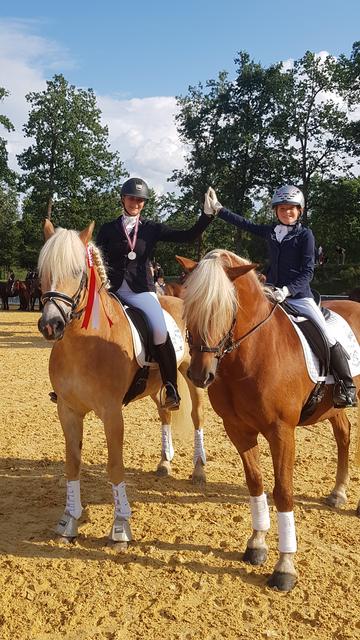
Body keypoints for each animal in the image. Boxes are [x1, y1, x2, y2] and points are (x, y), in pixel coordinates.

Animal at [38, 222, 207, 548]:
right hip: (157, 388)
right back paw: (164, 463)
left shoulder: (112, 413)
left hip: (193, 376)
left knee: (197, 418)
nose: (50, 325)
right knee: (165, 414)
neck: (85, 341)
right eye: (42, 270)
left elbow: (115, 466)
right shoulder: (67, 411)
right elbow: (72, 463)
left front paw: (120, 528)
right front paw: (69, 522)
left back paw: (199, 470)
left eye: (77, 271)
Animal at [177, 249, 360, 592]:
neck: (252, 353)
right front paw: (257, 544)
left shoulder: (281, 432)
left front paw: (285, 567)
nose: (199, 374)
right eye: (189, 305)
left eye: (226, 307)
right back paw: (338, 493)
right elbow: (256, 483)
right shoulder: (238, 430)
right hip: (333, 407)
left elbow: (283, 491)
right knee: (343, 435)